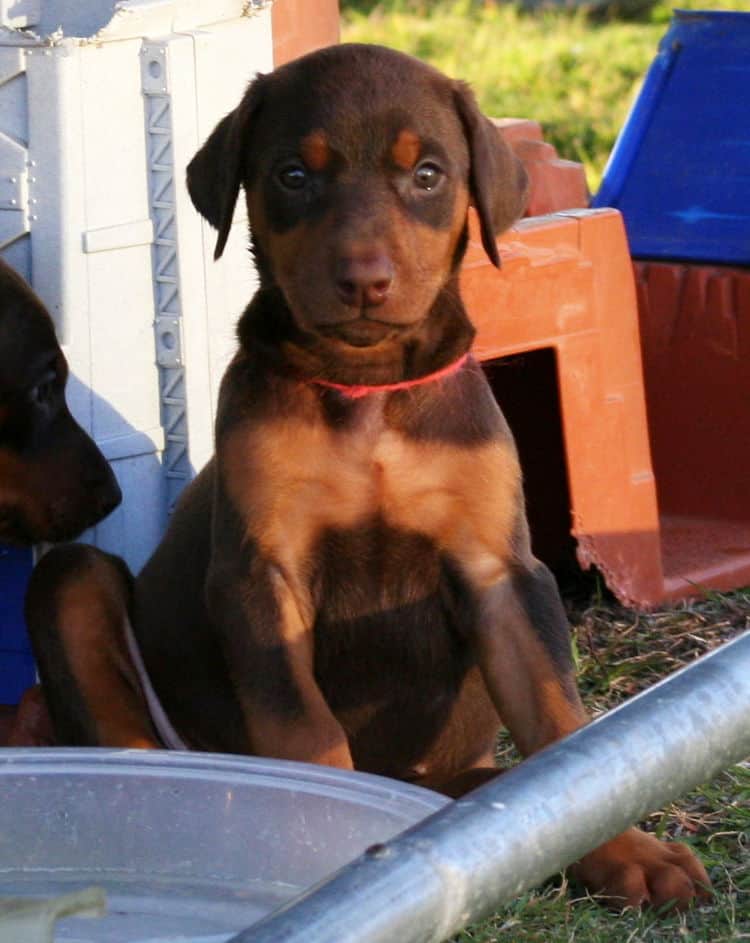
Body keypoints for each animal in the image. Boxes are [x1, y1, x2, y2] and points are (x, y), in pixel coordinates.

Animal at [26, 46, 712, 916]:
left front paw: (628, 851)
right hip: (75, 582)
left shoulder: (500, 570)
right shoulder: (262, 573)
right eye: (292, 175)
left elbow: (562, 726)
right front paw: (307, 833)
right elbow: (305, 729)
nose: (363, 280)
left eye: (427, 174)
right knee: (129, 735)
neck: (369, 389)